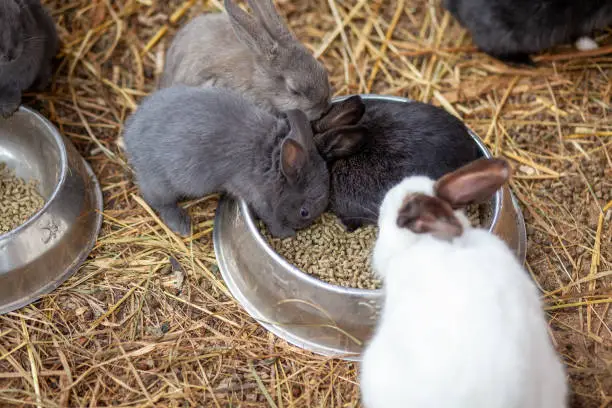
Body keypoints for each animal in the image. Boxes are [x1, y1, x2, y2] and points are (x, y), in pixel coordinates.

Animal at [123, 86, 330, 239]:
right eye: (304, 212)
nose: (303, 227)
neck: (272, 159)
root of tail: (129, 138)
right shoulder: (259, 199)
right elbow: (272, 219)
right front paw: (287, 234)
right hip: (161, 184)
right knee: (158, 202)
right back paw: (182, 225)